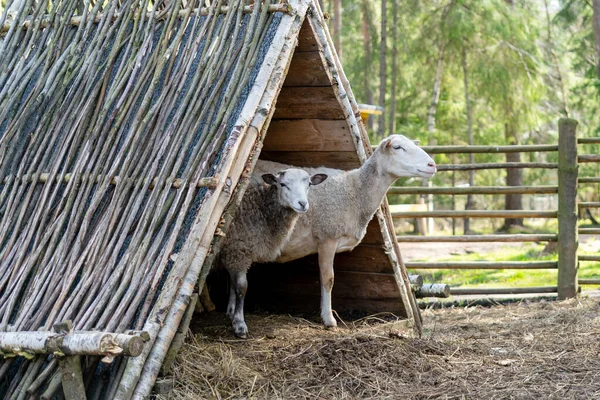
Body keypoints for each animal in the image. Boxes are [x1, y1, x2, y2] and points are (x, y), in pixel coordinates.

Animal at [217, 167, 326, 336]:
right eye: (282, 184)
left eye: (308, 184)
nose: (302, 204)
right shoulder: (238, 251)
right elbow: (241, 287)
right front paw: (239, 324)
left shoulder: (232, 253)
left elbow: (235, 285)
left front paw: (232, 313)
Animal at [250, 134, 436, 328]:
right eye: (398, 147)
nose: (432, 165)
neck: (354, 191)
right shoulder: (327, 237)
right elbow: (328, 278)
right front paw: (328, 319)